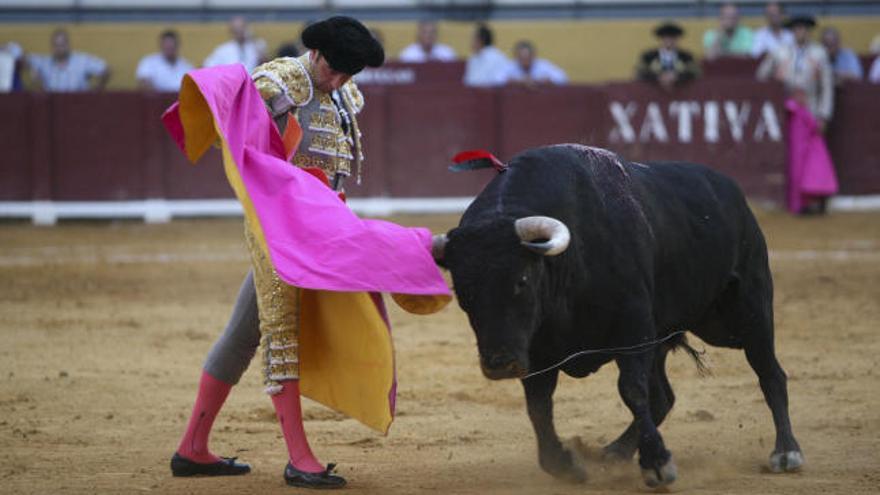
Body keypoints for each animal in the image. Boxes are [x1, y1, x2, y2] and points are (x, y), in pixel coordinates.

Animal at [434, 143, 804, 488]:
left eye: (521, 280)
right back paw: (616, 451)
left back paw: (786, 452)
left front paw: (657, 464)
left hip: (747, 311)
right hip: (666, 335)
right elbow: (538, 405)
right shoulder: (536, 349)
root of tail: (732, 192)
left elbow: (632, 390)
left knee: (770, 373)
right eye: (462, 292)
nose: (500, 364)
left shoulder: (633, 328)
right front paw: (564, 465)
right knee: (663, 396)